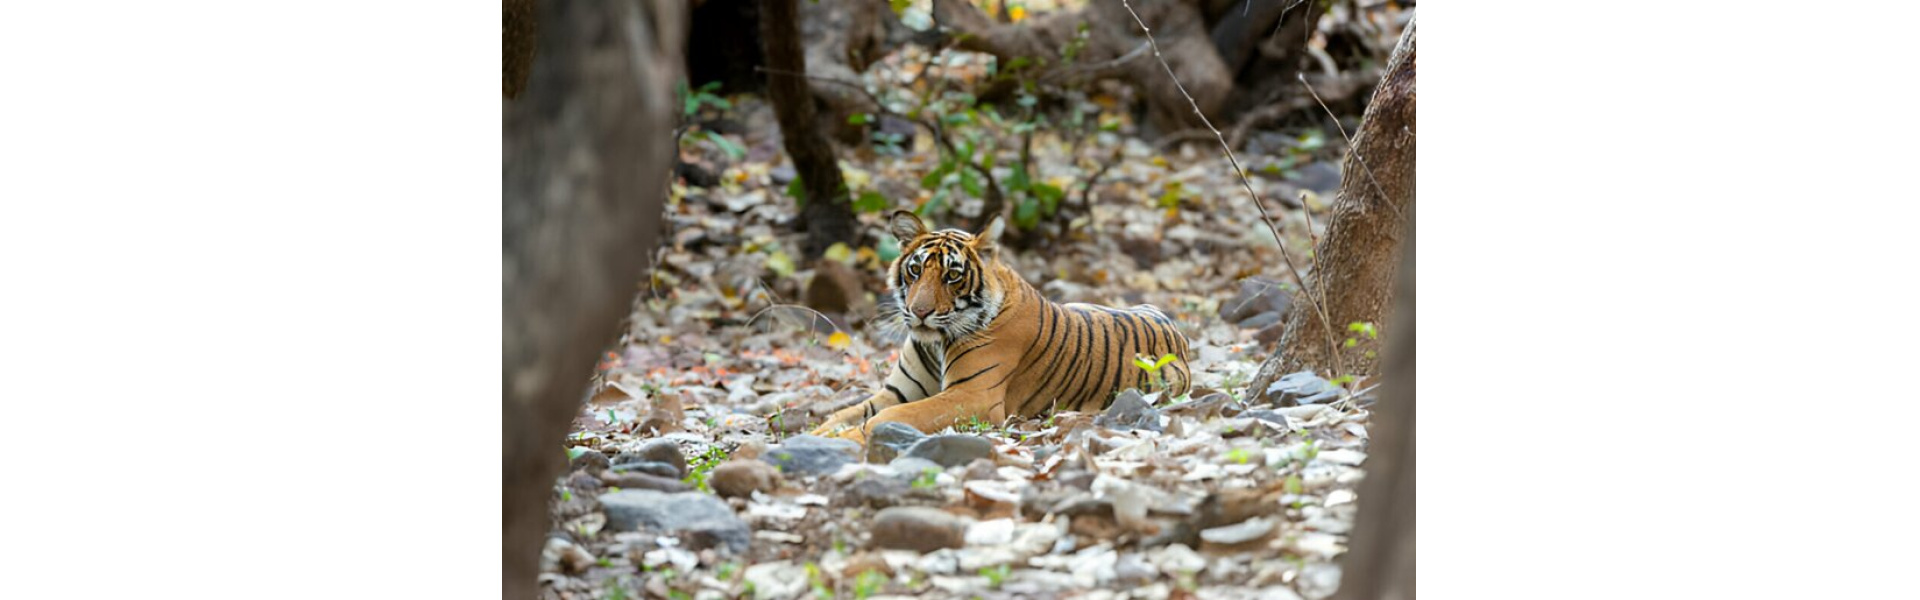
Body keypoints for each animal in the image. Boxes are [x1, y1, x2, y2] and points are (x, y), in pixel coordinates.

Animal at [817, 208, 1190, 442]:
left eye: (952, 275)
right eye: (915, 270)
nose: (919, 311)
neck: (936, 343)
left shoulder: (971, 396)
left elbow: (891, 417)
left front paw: (850, 438)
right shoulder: (895, 392)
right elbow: (845, 413)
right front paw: (819, 432)